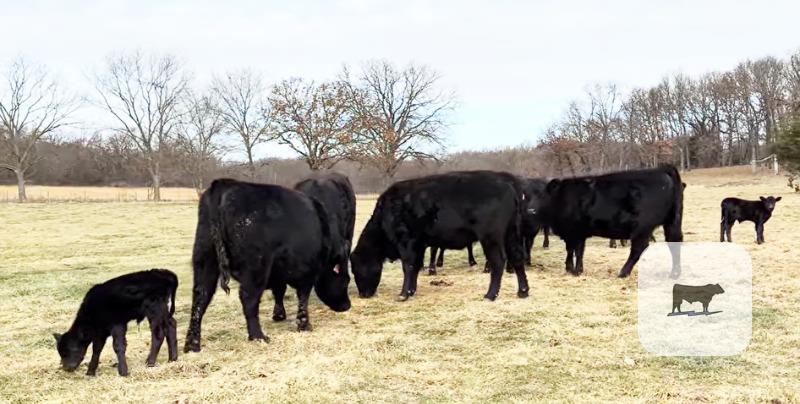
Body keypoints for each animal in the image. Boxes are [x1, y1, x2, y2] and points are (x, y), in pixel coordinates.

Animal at [184, 179, 351, 353]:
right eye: (345, 280)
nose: (347, 306)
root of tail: (224, 184)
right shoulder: (308, 270)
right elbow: (303, 297)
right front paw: (304, 325)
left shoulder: (278, 272)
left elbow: (279, 291)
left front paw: (279, 315)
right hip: (256, 267)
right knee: (248, 299)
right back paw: (258, 336)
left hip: (204, 258)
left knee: (200, 298)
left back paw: (192, 344)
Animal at [350, 170, 530, 302]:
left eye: (356, 268)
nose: (363, 295)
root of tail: (509, 185)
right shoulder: (419, 244)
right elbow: (416, 266)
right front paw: (412, 290)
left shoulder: (406, 242)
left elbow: (408, 266)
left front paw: (403, 294)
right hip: (511, 235)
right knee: (517, 258)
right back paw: (523, 291)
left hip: (490, 238)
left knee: (498, 262)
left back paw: (490, 295)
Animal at [542, 165, 684, 278]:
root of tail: (662, 170)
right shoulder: (577, 232)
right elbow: (576, 251)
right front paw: (575, 269)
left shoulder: (574, 231)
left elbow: (574, 250)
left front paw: (573, 270)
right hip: (672, 222)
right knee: (674, 242)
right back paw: (675, 273)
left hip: (642, 227)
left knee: (639, 248)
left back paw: (623, 272)